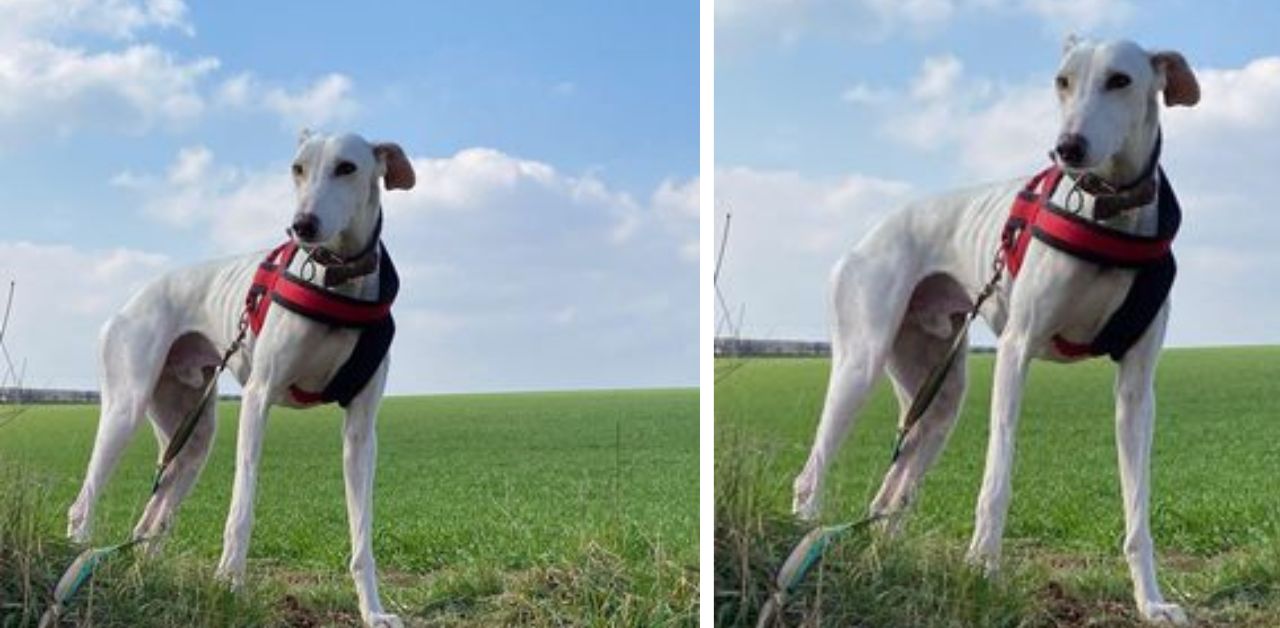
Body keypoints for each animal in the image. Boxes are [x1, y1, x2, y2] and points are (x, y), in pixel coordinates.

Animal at [67, 130, 412, 626]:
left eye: (347, 167)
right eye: (297, 168)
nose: (302, 226)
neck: (337, 280)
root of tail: (128, 304)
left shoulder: (362, 430)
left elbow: (362, 531)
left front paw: (373, 611)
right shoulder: (258, 398)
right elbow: (241, 507)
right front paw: (229, 585)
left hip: (192, 440)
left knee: (149, 523)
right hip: (123, 410)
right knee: (84, 503)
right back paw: (75, 563)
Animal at [788, 39, 1198, 624]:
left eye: (1120, 80)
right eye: (1062, 81)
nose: (1067, 149)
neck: (1108, 213)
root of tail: (862, 241)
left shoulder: (1138, 387)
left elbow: (1137, 506)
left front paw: (1151, 601)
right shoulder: (1015, 351)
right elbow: (997, 478)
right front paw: (982, 570)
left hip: (939, 399)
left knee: (888, 498)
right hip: (858, 365)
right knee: (812, 474)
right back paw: (802, 548)